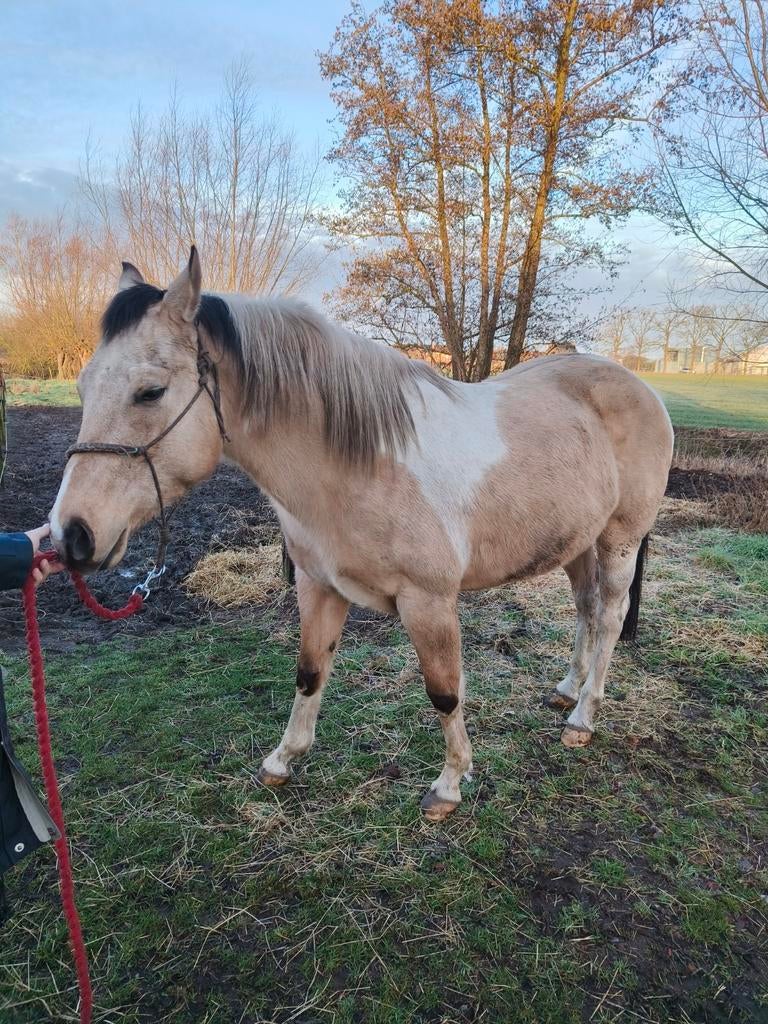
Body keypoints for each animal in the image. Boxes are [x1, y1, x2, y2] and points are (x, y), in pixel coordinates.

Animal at [50, 248, 674, 821]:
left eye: (150, 392)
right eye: (82, 386)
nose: (72, 535)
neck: (363, 465)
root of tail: (642, 388)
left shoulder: (429, 603)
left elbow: (444, 691)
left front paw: (449, 785)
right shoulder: (318, 586)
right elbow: (309, 673)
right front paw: (283, 760)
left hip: (618, 540)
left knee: (610, 616)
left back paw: (582, 718)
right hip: (576, 542)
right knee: (586, 609)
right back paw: (567, 690)